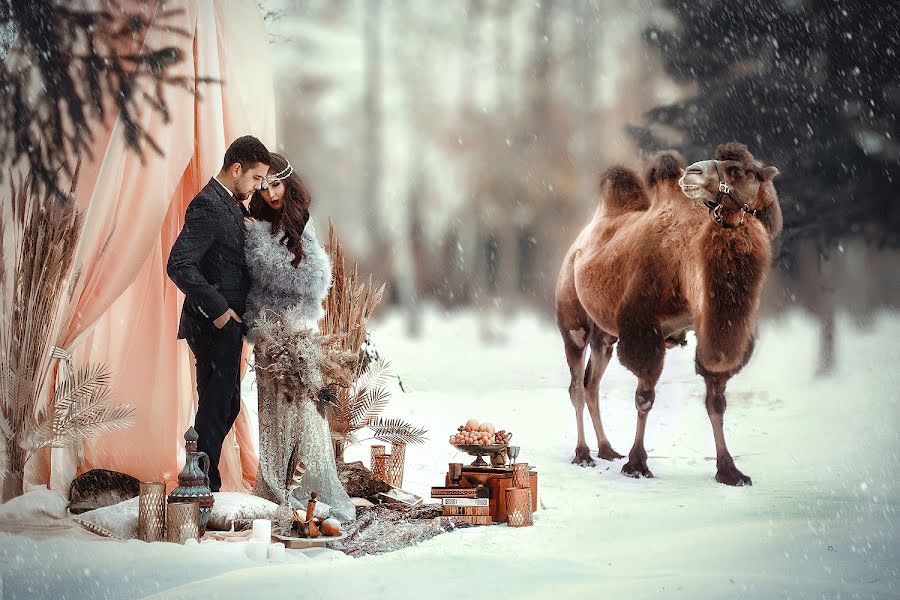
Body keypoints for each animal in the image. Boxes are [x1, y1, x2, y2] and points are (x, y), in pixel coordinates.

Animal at [556, 143, 780, 486]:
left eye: (738, 170)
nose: (693, 172)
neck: (685, 268)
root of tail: (578, 245)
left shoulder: (709, 328)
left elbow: (716, 401)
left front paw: (729, 471)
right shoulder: (642, 329)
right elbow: (644, 397)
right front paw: (637, 464)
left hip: (605, 334)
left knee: (592, 382)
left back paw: (607, 449)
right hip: (573, 318)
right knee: (576, 385)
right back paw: (583, 454)